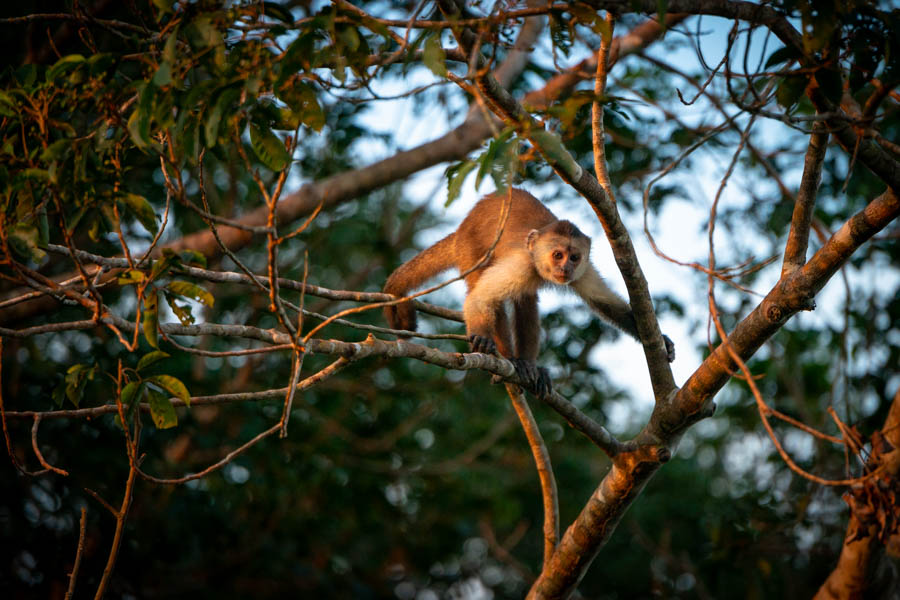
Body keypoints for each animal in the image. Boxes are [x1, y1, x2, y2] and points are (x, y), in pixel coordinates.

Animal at [383, 188, 675, 398]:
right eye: (557, 255)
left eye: (574, 257)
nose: (565, 268)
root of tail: (462, 228)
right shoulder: (522, 262)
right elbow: (481, 298)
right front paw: (484, 339)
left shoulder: (584, 271)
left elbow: (605, 304)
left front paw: (660, 339)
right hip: (470, 249)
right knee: (489, 291)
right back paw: (508, 359)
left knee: (525, 299)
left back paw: (529, 365)